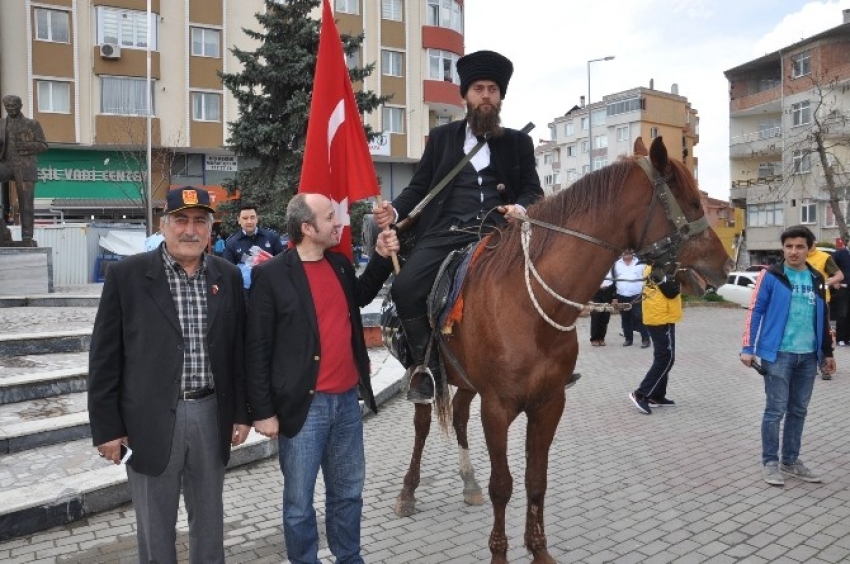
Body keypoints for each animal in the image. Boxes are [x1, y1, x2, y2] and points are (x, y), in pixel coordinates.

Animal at [394, 134, 732, 560]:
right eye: (690, 202)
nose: (725, 266)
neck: (530, 303)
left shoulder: (549, 404)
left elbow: (536, 481)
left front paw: (538, 551)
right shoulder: (497, 408)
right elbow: (502, 485)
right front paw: (500, 553)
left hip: (467, 381)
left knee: (457, 416)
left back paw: (468, 483)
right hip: (424, 375)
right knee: (423, 425)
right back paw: (408, 492)